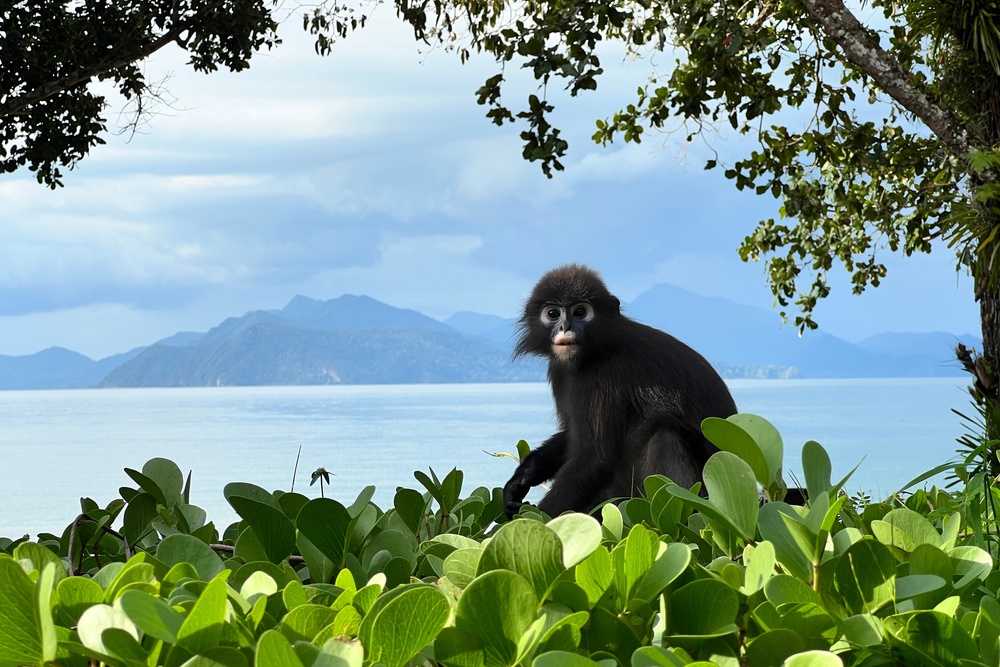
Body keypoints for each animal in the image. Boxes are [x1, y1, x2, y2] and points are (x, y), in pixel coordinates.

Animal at [503, 264, 738, 518]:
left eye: (580, 312)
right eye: (553, 314)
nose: (566, 327)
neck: (592, 351)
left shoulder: (603, 374)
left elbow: (594, 459)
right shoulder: (559, 370)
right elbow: (572, 435)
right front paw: (525, 474)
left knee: (666, 435)